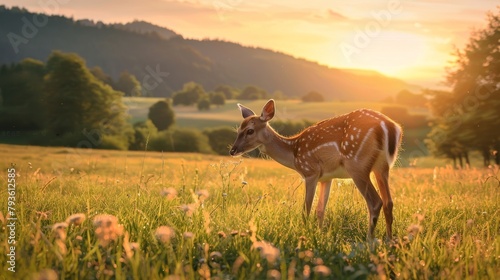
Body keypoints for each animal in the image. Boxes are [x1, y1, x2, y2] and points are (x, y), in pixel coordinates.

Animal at [230, 98, 402, 238]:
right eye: (238, 129)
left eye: (250, 130)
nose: (233, 150)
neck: (294, 153)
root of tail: (389, 126)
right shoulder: (327, 177)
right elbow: (320, 210)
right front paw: (319, 235)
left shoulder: (310, 172)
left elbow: (306, 209)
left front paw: (304, 235)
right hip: (382, 167)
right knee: (389, 202)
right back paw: (389, 241)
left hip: (357, 165)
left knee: (375, 202)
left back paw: (369, 241)